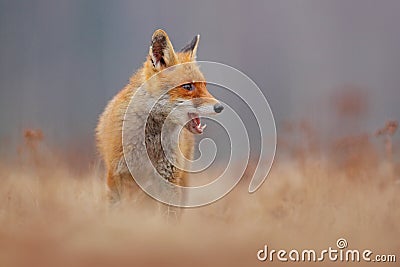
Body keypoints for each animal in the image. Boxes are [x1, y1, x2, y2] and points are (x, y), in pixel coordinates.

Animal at [95, 30, 223, 208]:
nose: (220, 107)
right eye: (188, 87)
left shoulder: (169, 179)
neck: (151, 143)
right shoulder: (121, 175)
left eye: (205, 86)